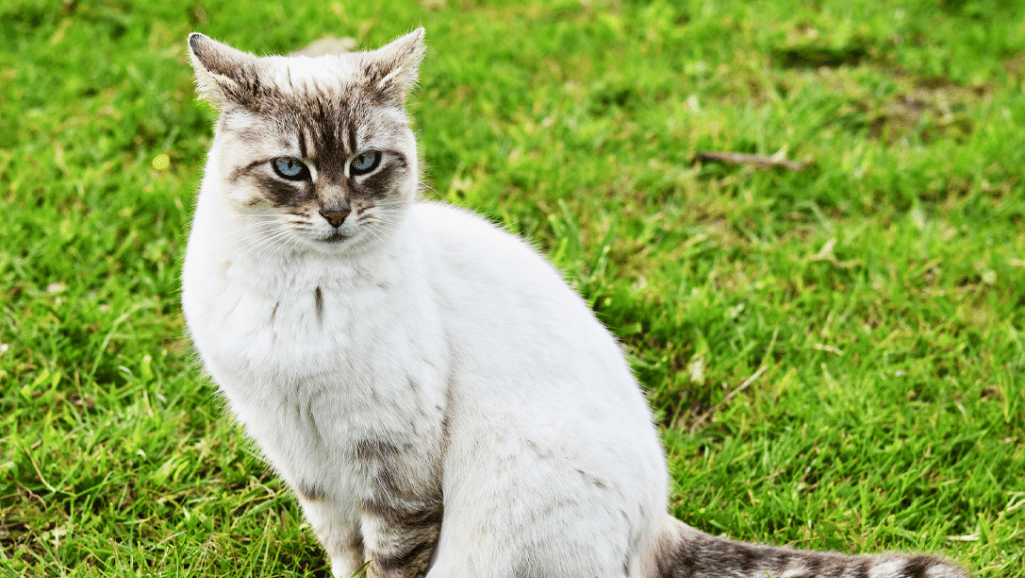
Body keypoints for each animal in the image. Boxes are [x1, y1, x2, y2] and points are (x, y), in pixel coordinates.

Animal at [180, 28, 971, 578]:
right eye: (291, 169)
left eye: (365, 163)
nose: (338, 214)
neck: (298, 293)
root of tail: (660, 521)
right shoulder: (299, 450)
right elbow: (344, 553)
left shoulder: (392, 461)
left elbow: (392, 557)